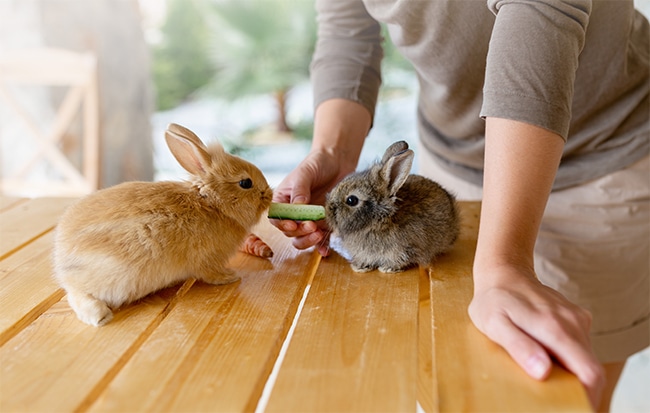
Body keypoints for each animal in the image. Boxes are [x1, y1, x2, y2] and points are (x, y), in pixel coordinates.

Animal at [53, 123, 273, 326]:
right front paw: (230, 277)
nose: (269, 194)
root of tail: (62, 262)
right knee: (77, 294)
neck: (212, 204)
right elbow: (210, 274)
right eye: (245, 183)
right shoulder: (206, 260)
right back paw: (99, 316)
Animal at [325, 140, 460, 273]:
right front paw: (360, 267)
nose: (328, 210)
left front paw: (387, 268)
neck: (379, 221)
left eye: (352, 200)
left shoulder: (406, 249)